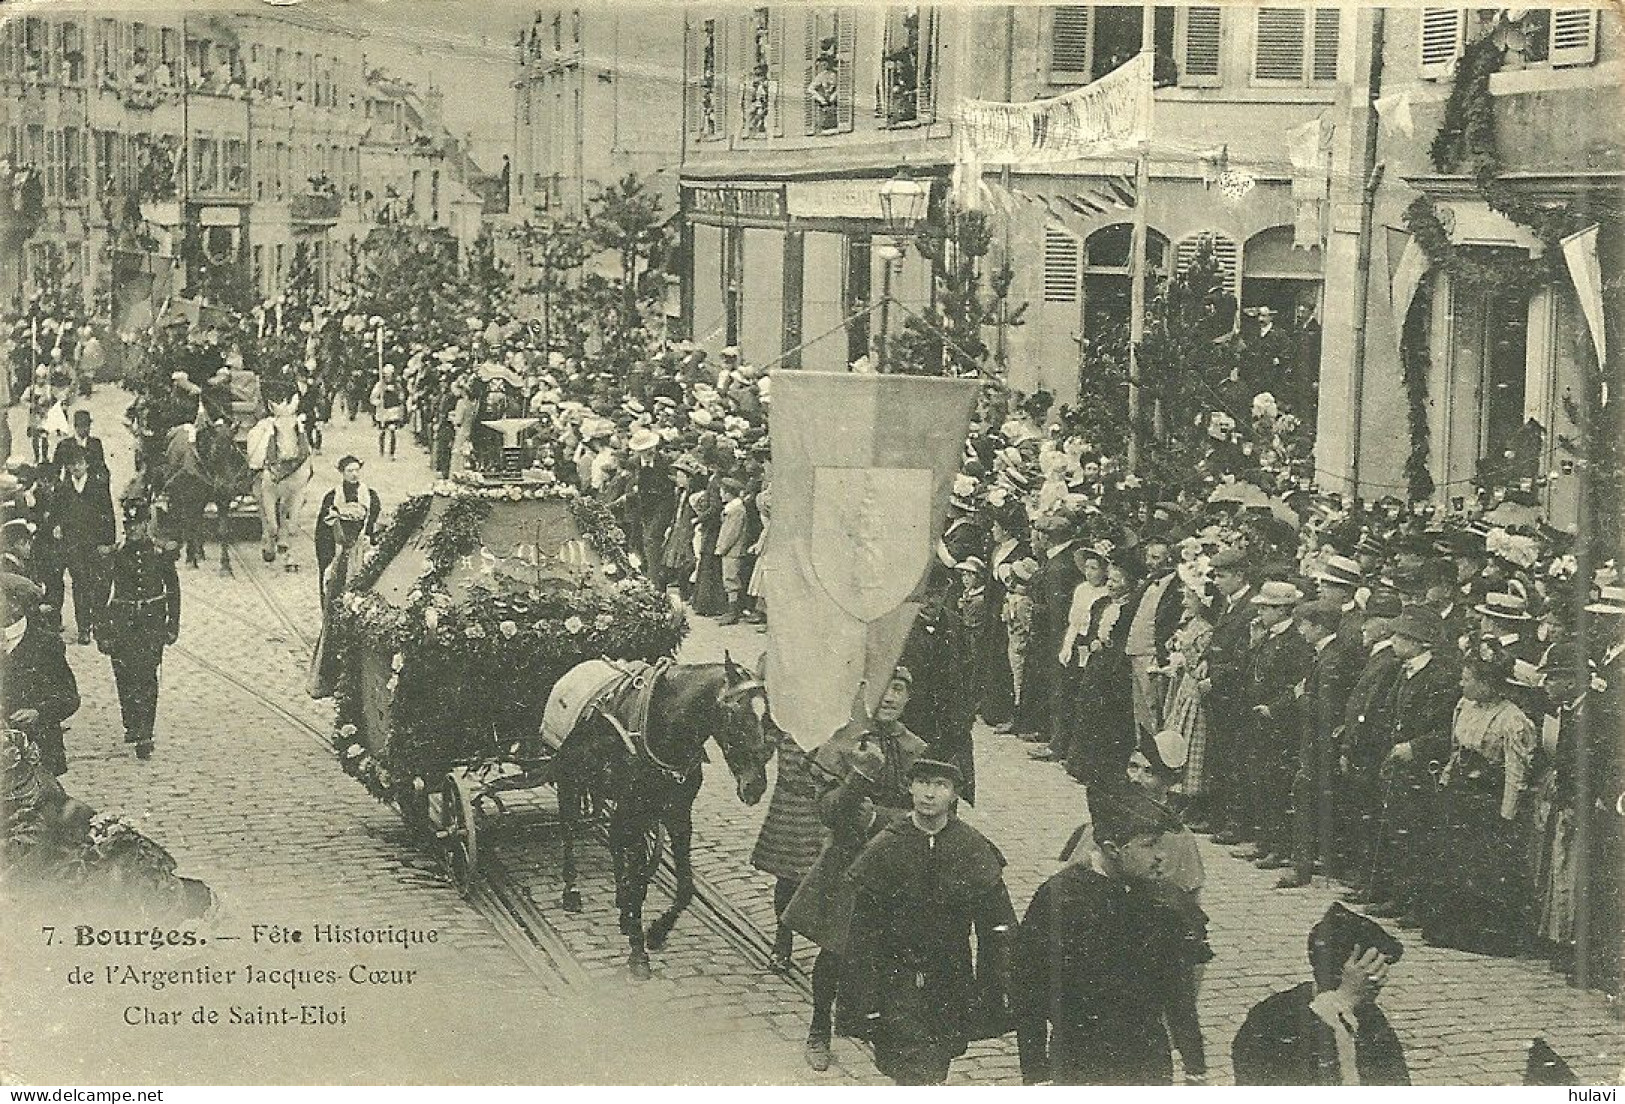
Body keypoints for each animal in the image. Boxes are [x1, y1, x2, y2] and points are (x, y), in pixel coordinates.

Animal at [549, 653, 770, 982]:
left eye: (768, 715)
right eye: (735, 715)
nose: (755, 786)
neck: (662, 724)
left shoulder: (678, 815)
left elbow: (685, 888)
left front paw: (655, 932)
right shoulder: (636, 810)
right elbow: (640, 880)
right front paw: (638, 953)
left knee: (614, 842)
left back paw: (621, 904)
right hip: (569, 782)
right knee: (569, 832)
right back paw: (571, 891)